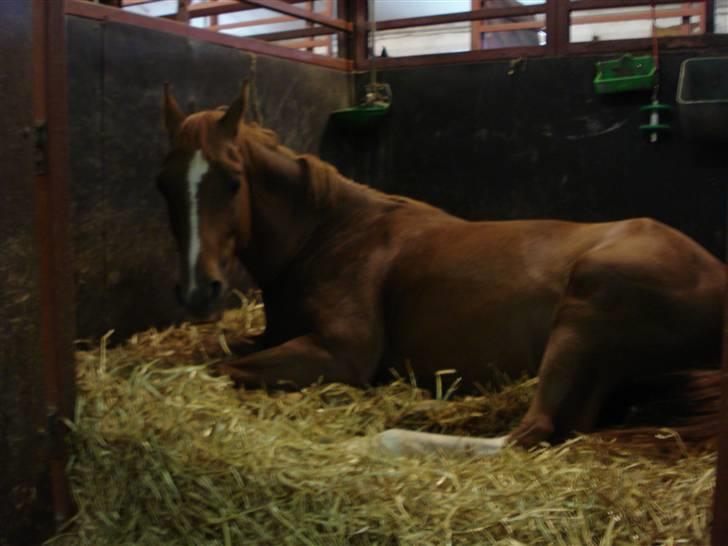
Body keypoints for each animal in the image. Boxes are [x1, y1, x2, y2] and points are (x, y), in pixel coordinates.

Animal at [156, 83, 724, 452]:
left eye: (232, 181)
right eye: (164, 185)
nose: (197, 291)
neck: (331, 235)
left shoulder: (340, 355)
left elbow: (220, 369)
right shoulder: (274, 334)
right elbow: (212, 354)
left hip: (583, 314)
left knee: (528, 433)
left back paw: (378, 441)